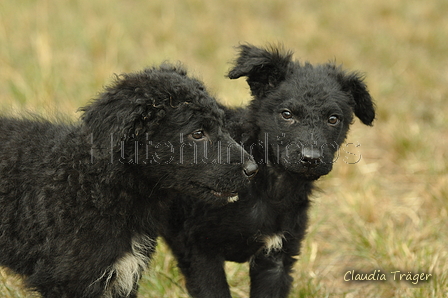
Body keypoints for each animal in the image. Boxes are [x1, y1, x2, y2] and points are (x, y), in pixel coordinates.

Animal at [159, 44, 376, 298]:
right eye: (287, 114)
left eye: (333, 119)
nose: (311, 158)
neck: (268, 185)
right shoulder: (199, 250)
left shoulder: (278, 257)